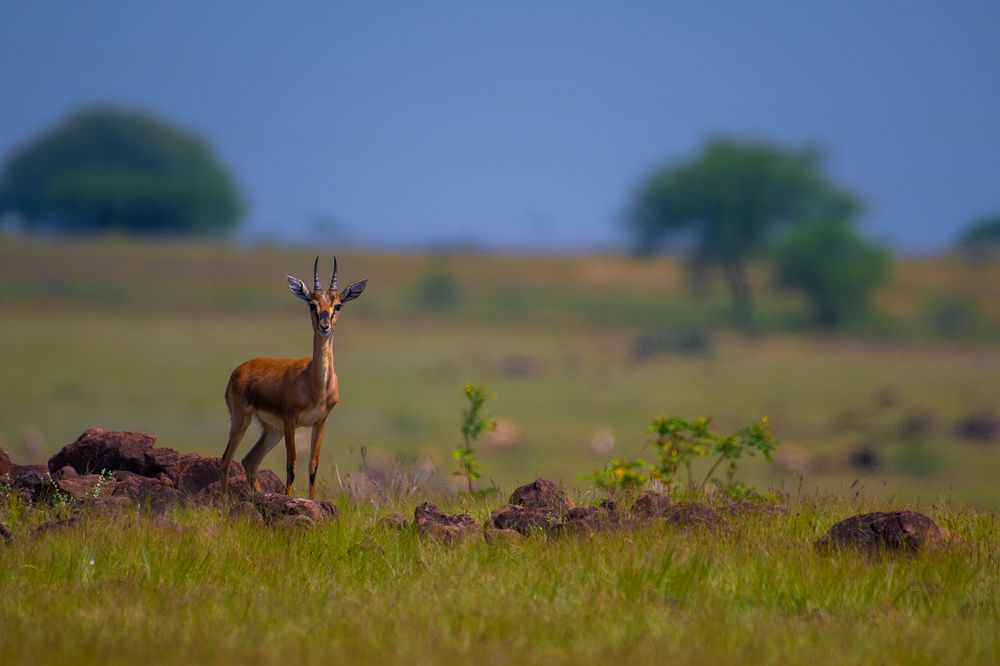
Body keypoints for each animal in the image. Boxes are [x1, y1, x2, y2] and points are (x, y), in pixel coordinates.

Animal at [220, 257, 367, 499]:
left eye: (338, 305)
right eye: (312, 304)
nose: (324, 326)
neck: (315, 387)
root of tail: (239, 369)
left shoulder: (321, 421)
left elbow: (313, 465)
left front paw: (312, 501)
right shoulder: (291, 420)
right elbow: (292, 464)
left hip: (272, 429)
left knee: (250, 461)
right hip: (242, 420)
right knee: (225, 461)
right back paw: (225, 503)